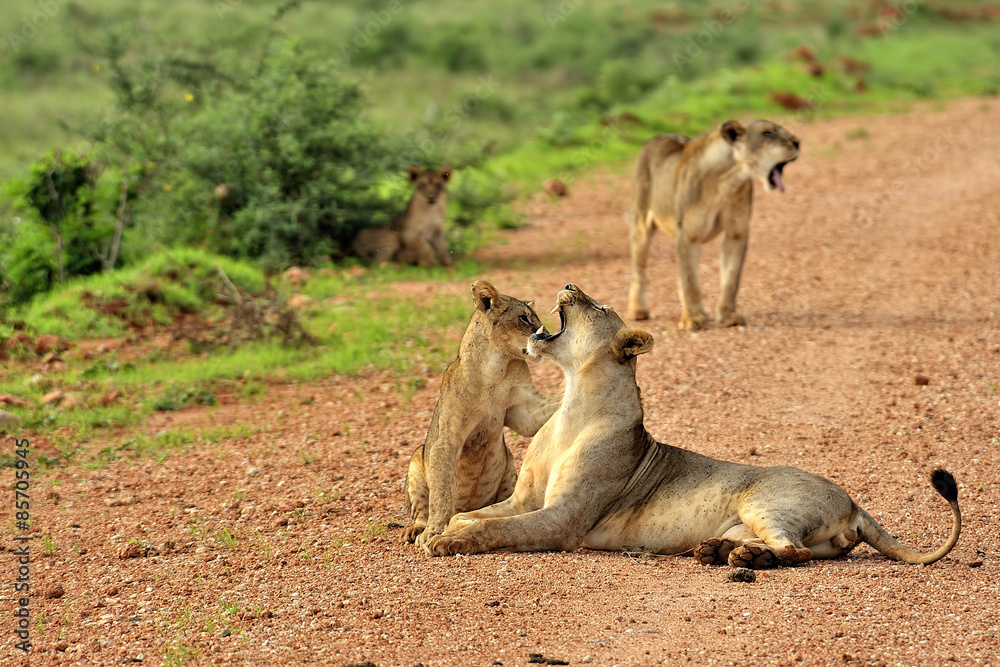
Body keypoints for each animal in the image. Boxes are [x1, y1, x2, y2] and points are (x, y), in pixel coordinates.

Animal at [404, 280, 562, 548]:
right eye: (523, 318)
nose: (547, 335)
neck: (495, 368)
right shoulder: (446, 440)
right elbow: (441, 494)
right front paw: (433, 532)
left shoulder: (526, 410)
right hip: (417, 458)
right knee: (421, 510)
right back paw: (417, 530)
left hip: (509, 465)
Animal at [426, 284, 961, 568]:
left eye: (598, 308)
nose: (571, 286)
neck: (572, 404)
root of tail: (854, 502)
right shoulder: (524, 499)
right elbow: (476, 515)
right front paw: (442, 527)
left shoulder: (564, 519)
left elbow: (498, 529)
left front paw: (449, 542)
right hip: (753, 518)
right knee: (786, 547)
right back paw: (718, 550)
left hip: (762, 500)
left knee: (795, 552)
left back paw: (742, 561)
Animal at [627, 120, 800, 329]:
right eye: (768, 133)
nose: (798, 143)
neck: (728, 180)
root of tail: (657, 136)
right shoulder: (688, 235)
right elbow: (691, 281)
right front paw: (693, 319)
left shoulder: (736, 234)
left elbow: (730, 279)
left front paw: (728, 316)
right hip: (641, 225)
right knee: (639, 273)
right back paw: (638, 310)